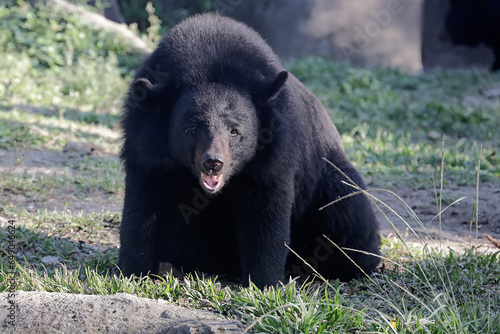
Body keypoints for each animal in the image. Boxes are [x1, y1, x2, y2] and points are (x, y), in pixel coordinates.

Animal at [118, 14, 378, 288]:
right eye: (191, 128)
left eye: (234, 131)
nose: (213, 162)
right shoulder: (146, 146)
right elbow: (144, 205)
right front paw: (133, 271)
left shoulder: (275, 152)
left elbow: (266, 214)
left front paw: (264, 282)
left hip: (330, 182)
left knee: (348, 210)